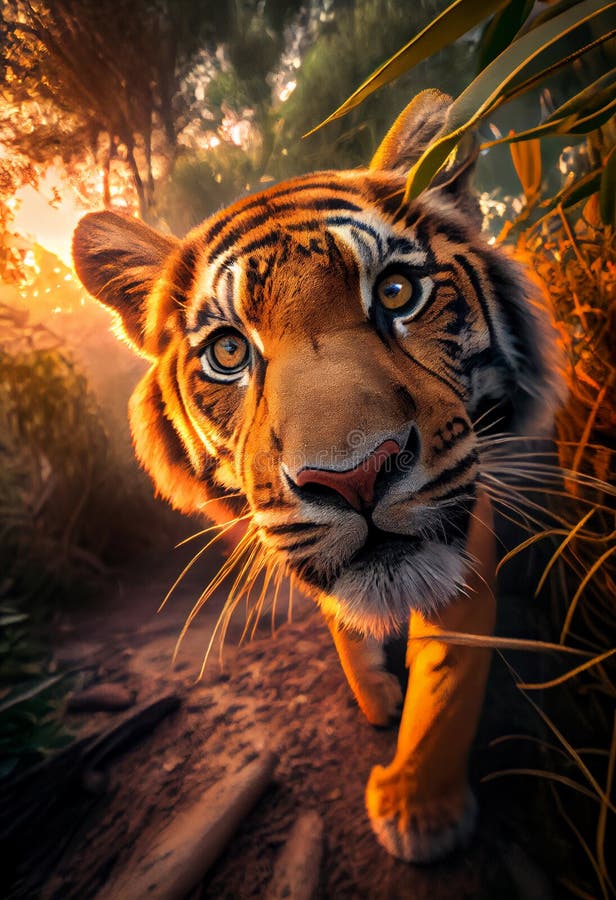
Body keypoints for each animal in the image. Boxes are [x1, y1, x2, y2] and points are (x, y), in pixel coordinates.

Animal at [72, 90, 564, 863]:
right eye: (228, 351)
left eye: (396, 291)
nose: (356, 477)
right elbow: (340, 615)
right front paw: (376, 697)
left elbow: (447, 677)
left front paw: (418, 810)